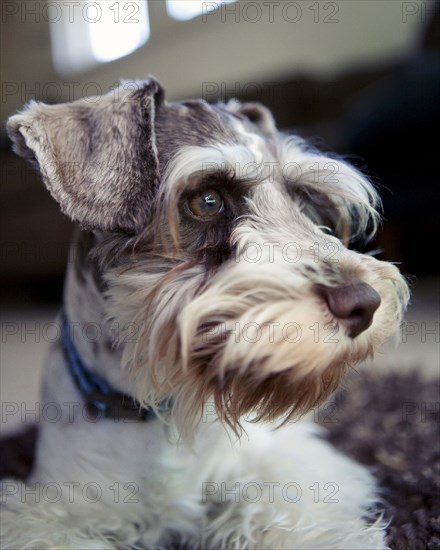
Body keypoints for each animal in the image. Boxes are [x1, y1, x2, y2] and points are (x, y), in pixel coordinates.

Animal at [0, 78, 410, 550]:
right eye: (207, 200)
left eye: (303, 201)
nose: (364, 303)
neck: (160, 409)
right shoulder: (58, 510)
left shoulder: (288, 467)